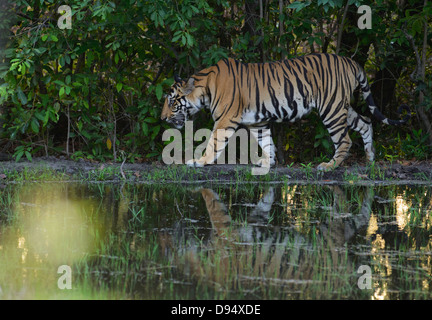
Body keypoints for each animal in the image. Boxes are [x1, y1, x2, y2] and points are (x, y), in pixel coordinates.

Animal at [160, 53, 410, 171]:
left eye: (172, 101)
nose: (162, 118)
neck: (205, 88)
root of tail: (351, 61)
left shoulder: (224, 120)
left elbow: (213, 143)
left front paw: (199, 162)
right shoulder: (257, 122)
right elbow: (267, 142)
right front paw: (267, 163)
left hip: (331, 109)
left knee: (345, 140)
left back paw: (328, 166)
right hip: (342, 107)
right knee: (366, 121)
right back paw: (370, 158)